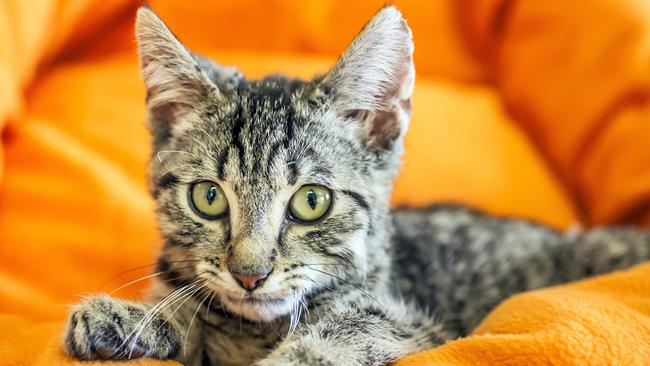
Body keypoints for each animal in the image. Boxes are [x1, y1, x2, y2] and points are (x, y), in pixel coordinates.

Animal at [63, 6, 648, 366]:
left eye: (311, 202)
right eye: (207, 198)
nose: (249, 275)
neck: (256, 332)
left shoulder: (407, 324)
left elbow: (332, 342)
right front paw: (129, 316)